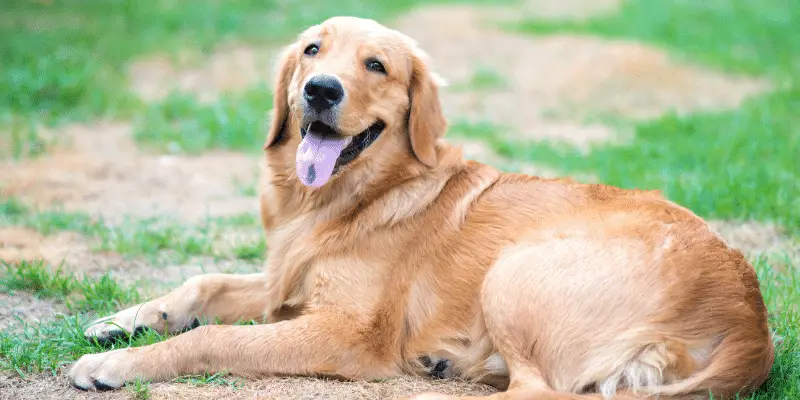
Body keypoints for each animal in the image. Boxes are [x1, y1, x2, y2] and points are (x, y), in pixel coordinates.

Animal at [69, 16, 776, 400]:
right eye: (312, 50)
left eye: (376, 66)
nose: (319, 90)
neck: (348, 198)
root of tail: (752, 320)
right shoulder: (283, 283)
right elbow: (204, 282)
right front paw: (122, 321)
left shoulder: (345, 332)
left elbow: (214, 336)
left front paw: (116, 364)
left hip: (513, 271)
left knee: (538, 390)